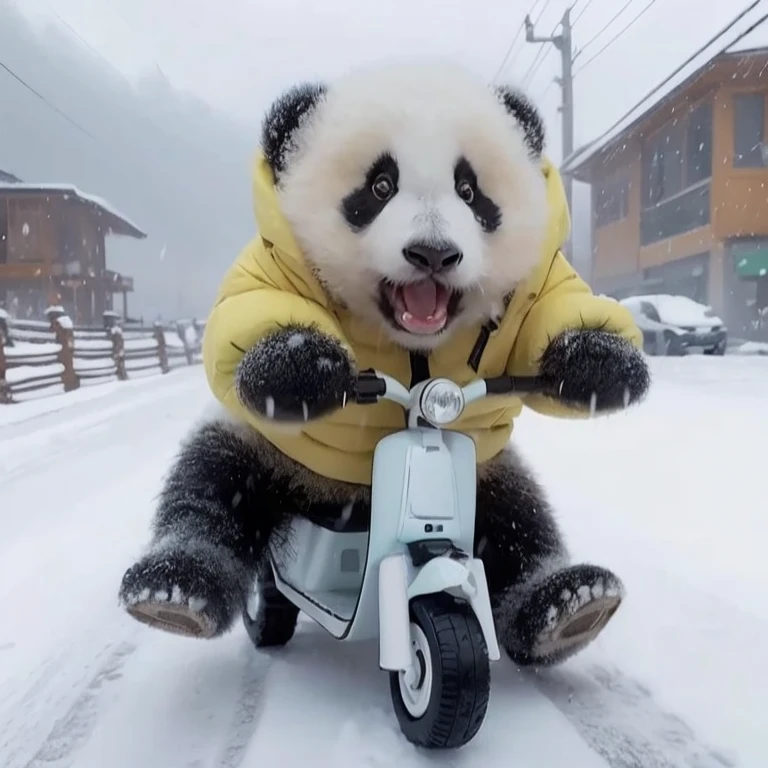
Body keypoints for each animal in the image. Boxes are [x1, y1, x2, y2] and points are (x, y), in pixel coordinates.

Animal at [118, 59, 650, 669]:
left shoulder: (533, 286)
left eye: (470, 191)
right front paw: (300, 369)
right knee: (211, 487)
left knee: (519, 519)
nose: (433, 253)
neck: (416, 360)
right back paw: (174, 590)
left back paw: (568, 604)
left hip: (490, 472)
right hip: (268, 453)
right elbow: (241, 315)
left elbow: (558, 303)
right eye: (379, 186)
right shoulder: (274, 264)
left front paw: (599, 366)